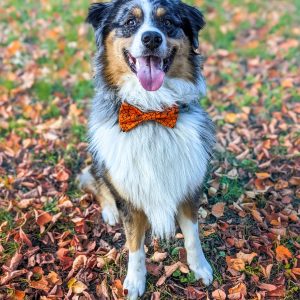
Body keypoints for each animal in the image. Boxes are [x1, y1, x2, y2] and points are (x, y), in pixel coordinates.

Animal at [78, 1, 216, 298]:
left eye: (168, 23)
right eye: (130, 22)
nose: (151, 38)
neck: (151, 113)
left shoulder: (187, 184)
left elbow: (192, 236)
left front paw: (200, 267)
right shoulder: (129, 196)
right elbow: (135, 246)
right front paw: (135, 281)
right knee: (96, 182)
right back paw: (109, 210)